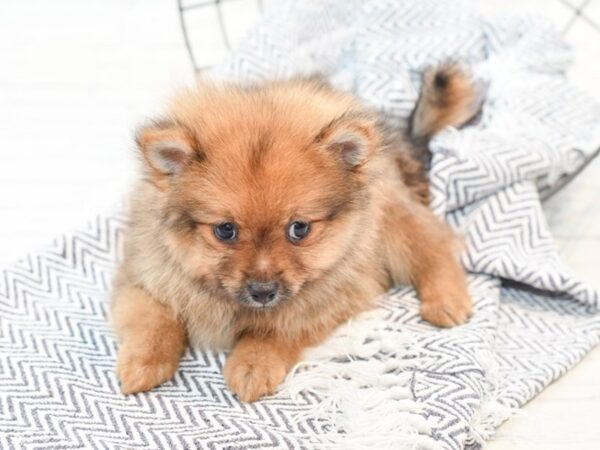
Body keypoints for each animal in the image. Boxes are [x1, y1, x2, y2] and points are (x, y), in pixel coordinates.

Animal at [111, 62, 478, 400]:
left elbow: (277, 328)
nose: (263, 292)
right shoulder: (144, 276)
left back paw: (447, 300)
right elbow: (154, 321)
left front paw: (253, 363)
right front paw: (142, 364)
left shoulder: (329, 297)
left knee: (434, 245)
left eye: (299, 229)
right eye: (226, 231)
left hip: (392, 221)